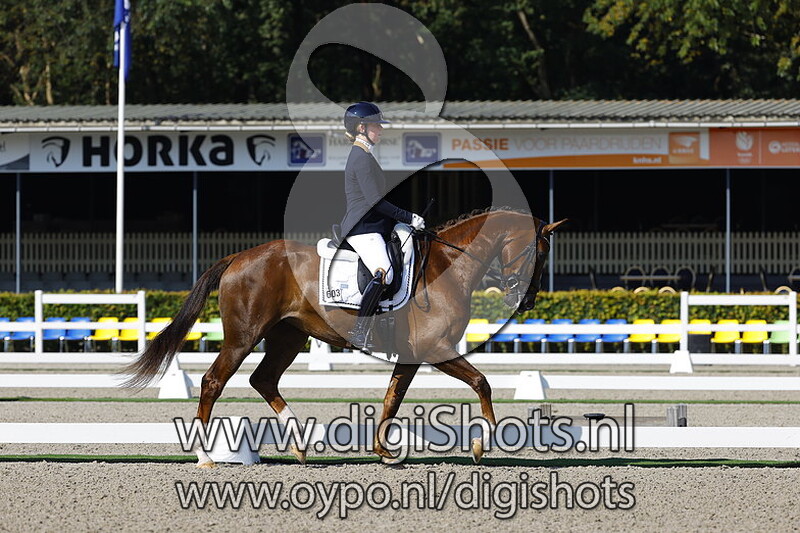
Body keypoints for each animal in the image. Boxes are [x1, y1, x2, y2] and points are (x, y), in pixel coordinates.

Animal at [122, 208, 567, 467]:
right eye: (539, 252)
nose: (527, 299)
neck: (449, 265)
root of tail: (238, 257)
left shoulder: (413, 356)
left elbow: (392, 398)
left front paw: (384, 452)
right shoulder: (436, 349)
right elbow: (482, 383)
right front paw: (481, 444)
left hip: (288, 338)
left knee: (263, 379)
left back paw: (301, 445)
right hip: (243, 337)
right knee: (214, 382)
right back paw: (205, 456)